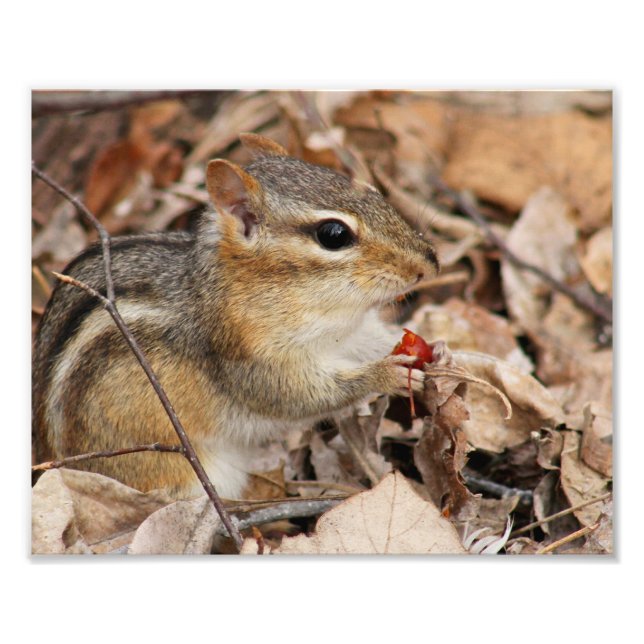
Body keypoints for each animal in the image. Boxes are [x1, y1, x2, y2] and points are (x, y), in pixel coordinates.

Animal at [32, 133, 440, 499]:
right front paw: (386, 372)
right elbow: (299, 396)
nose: (430, 262)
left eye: (372, 190)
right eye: (333, 234)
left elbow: (377, 339)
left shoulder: (353, 330)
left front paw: (443, 350)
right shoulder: (250, 357)